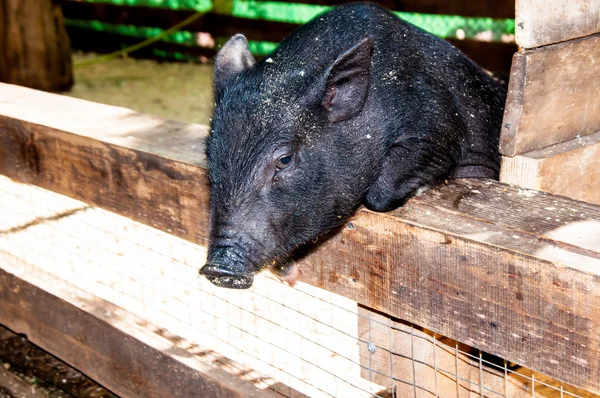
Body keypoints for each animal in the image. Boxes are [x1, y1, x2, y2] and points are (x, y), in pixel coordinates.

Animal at [200, 1, 506, 288]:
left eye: (284, 160)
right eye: (210, 156)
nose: (217, 270)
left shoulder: (439, 124)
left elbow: (380, 193)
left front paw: (422, 188)